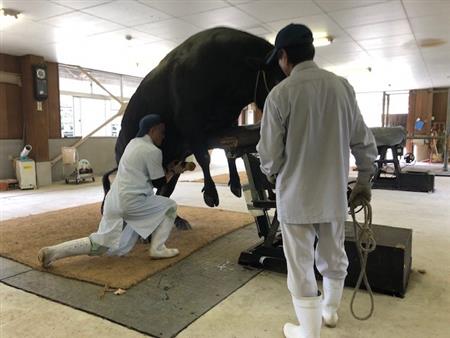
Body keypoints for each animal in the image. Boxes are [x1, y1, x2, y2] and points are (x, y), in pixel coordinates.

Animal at [102, 26, 284, 227]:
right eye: (277, 80)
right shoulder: (190, 125)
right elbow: (204, 157)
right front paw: (211, 193)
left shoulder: (229, 123)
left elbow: (228, 153)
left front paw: (235, 184)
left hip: (172, 169)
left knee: (163, 192)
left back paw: (176, 221)